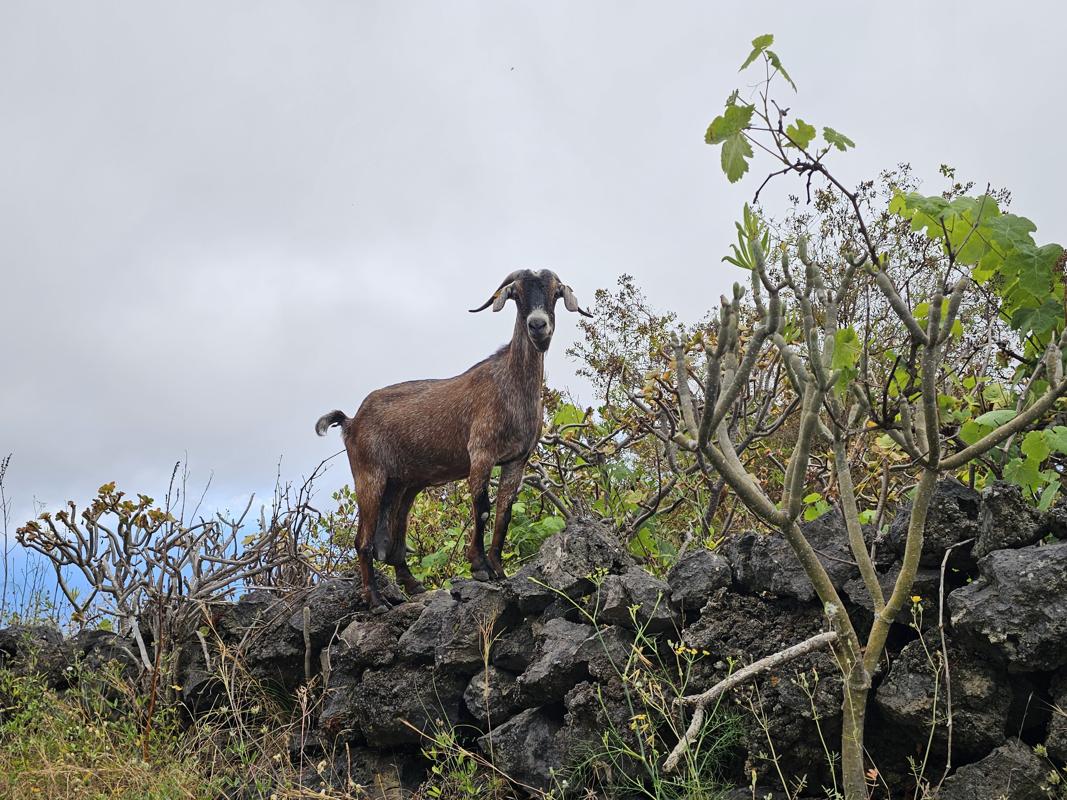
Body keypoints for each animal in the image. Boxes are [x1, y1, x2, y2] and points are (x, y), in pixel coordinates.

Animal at [315, 269, 592, 611]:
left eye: (555, 293)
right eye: (517, 294)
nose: (538, 325)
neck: (511, 387)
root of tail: (351, 421)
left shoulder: (517, 459)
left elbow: (504, 511)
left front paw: (498, 568)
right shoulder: (481, 453)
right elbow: (483, 507)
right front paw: (479, 567)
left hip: (403, 483)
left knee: (394, 535)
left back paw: (413, 585)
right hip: (369, 475)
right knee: (363, 541)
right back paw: (376, 600)